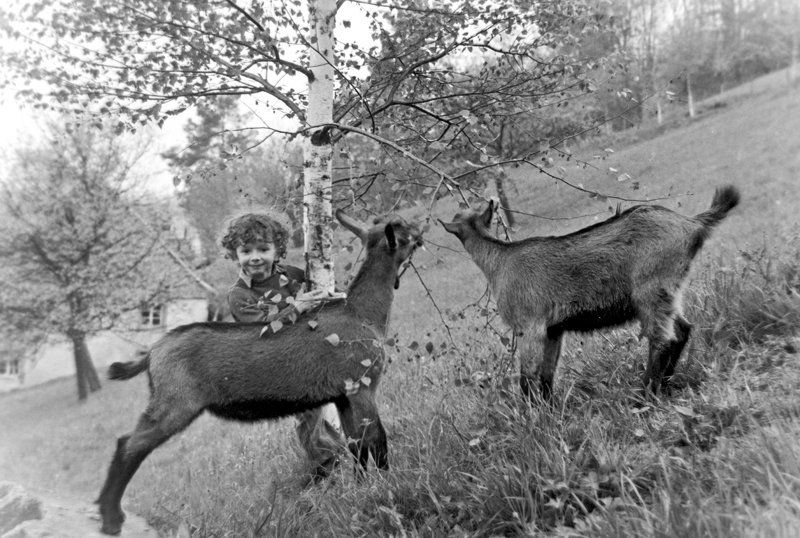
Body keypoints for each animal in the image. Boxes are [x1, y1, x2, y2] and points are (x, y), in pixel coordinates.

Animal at [96, 209, 422, 532]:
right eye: (403, 229)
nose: (420, 233)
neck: (362, 313)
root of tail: (152, 351)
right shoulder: (362, 385)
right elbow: (377, 439)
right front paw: (387, 485)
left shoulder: (344, 395)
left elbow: (357, 445)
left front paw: (362, 488)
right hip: (174, 402)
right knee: (130, 445)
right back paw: (111, 518)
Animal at [440, 184, 740, 398]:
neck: (500, 259)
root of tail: (692, 223)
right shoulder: (553, 329)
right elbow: (547, 374)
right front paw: (550, 412)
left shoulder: (529, 325)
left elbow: (528, 376)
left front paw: (529, 420)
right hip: (669, 292)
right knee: (683, 330)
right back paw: (663, 386)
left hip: (650, 289)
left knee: (663, 339)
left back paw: (644, 394)